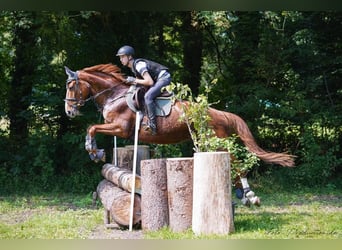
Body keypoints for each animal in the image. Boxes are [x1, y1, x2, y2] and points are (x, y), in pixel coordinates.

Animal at [65, 63, 296, 207]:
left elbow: (91, 128)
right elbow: (92, 128)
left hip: (216, 141)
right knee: (233, 163)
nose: (69, 112)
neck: (114, 95)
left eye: (71, 86)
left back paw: (250, 195)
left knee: (236, 163)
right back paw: (242, 195)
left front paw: (94, 151)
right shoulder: (117, 128)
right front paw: (96, 151)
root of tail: (219, 113)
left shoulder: (120, 128)